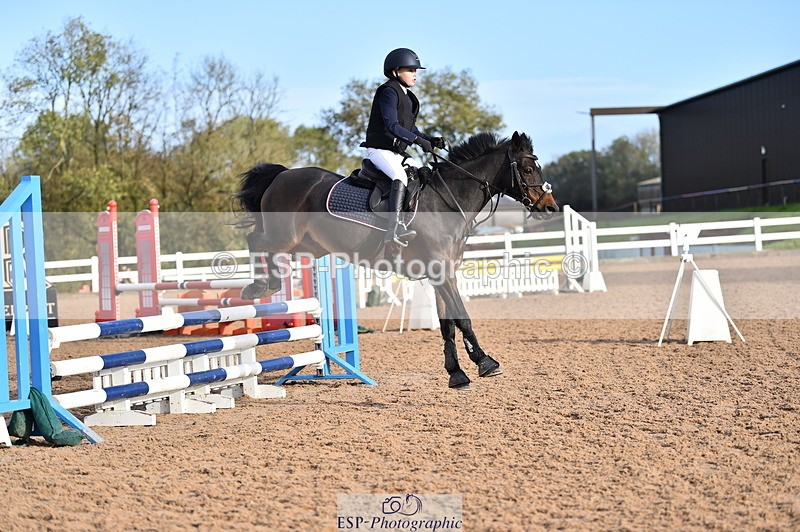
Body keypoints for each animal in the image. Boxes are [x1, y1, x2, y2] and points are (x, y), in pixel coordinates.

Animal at [235, 131, 559, 389]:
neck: (447, 201)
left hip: (309, 246)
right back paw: (259, 285)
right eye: (527, 169)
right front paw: (485, 362)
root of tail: (282, 175)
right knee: (255, 240)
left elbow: (448, 324)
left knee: (265, 246)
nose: (550, 208)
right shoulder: (442, 272)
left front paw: (456, 374)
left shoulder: (441, 275)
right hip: (284, 237)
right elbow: (463, 317)